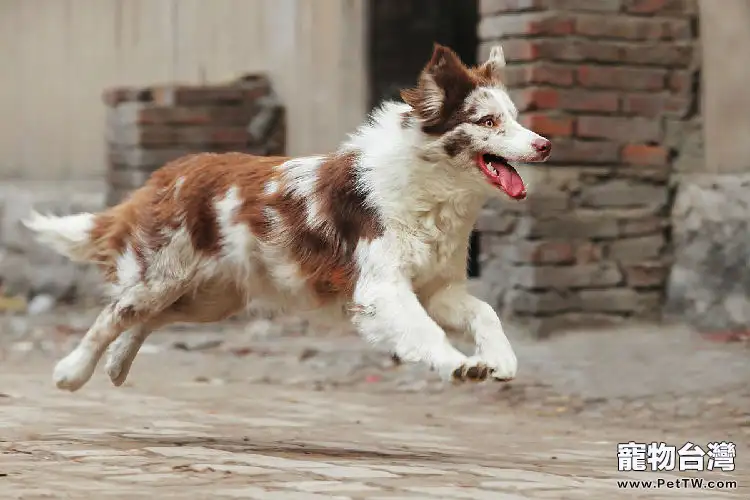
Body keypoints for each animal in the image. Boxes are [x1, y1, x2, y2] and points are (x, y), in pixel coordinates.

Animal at [23, 43, 552, 390]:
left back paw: (115, 366)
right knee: (115, 314)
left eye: (515, 117)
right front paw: (457, 363)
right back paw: (72, 372)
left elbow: (485, 312)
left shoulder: (437, 288)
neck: (432, 192)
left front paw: (501, 359)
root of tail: (167, 173)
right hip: (161, 278)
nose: (545, 145)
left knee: (146, 320)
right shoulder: (383, 290)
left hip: (208, 298)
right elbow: (424, 330)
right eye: (488, 122)